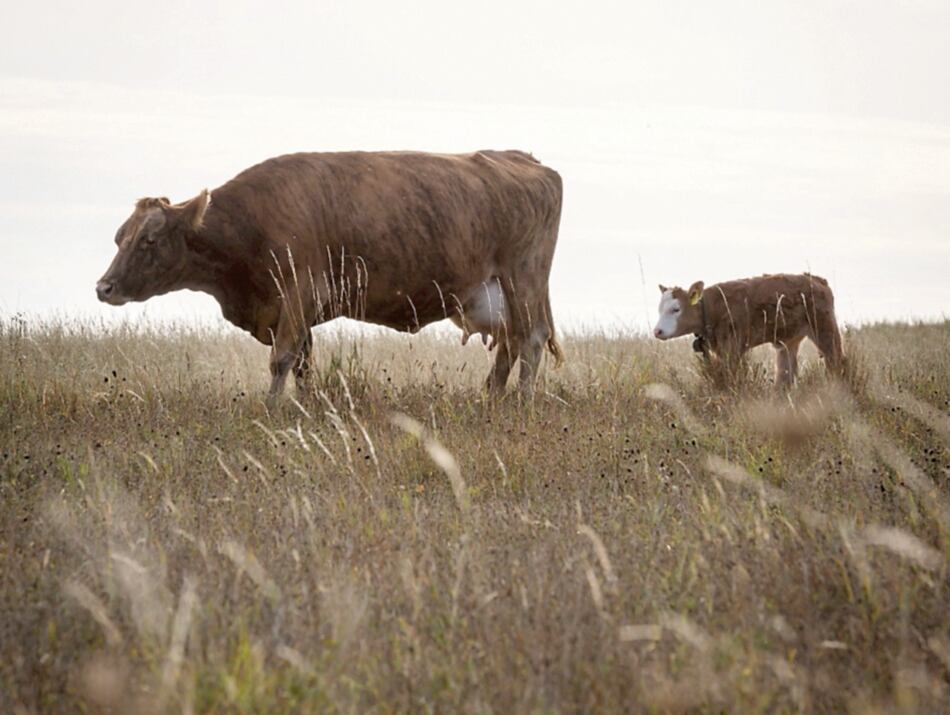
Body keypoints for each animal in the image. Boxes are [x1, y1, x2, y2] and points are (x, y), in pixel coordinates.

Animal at [96, 151, 563, 402]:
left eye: (149, 240)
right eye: (119, 237)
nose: (104, 287)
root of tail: (526, 160)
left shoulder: (299, 291)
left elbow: (282, 358)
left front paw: (271, 410)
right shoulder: (293, 309)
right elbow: (303, 363)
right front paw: (301, 407)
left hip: (523, 280)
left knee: (532, 339)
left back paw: (521, 401)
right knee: (510, 344)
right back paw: (491, 398)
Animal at [653, 273, 844, 388]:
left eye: (676, 309)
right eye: (660, 309)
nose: (657, 331)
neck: (713, 306)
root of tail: (817, 280)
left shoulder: (733, 348)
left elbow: (730, 376)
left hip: (825, 330)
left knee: (836, 362)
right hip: (788, 342)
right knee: (785, 375)